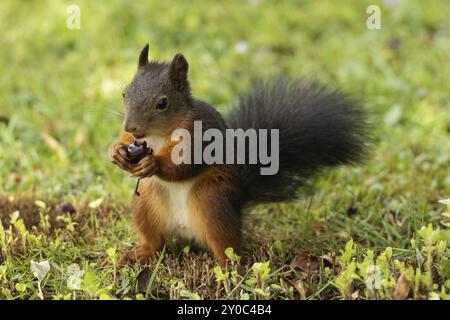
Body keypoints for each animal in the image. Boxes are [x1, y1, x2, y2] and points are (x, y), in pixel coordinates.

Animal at [109, 44, 370, 264]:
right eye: (124, 94)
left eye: (162, 103)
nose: (130, 127)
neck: (158, 135)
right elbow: (126, 144)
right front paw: (116, 152)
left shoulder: (200, 135)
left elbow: (186, 164)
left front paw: (153, 163)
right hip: (146, 205)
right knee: (155, 241)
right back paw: (139, 253)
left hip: (212, 203)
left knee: (227, 247)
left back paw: (228, 270)